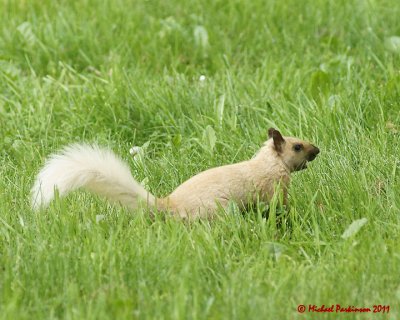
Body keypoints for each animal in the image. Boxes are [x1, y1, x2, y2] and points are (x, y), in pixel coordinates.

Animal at [30, 129, 318, 219]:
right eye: (297, 146)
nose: (317, 150)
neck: (266, 163)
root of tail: (169, 204)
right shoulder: (273, 186)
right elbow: (281, 205)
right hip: (218, 208)